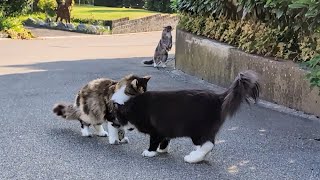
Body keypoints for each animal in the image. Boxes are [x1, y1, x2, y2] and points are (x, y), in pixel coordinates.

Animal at [112, 70, 260, 163]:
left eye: (118, 117)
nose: (115, 124)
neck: (133, 104)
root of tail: (218, 97)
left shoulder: (155, 129)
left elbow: (153, 141)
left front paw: (150, 152)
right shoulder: (165, 128)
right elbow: (165, 139)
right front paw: (162, 149)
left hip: (198, 130)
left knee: (208, 144)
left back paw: (193, 158)